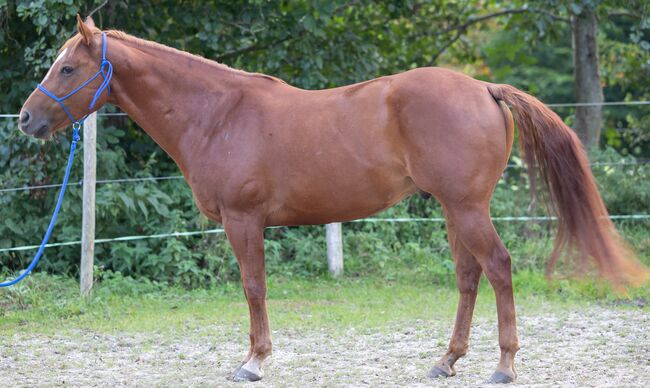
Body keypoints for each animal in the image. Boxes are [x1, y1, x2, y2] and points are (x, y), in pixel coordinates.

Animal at [19, 17, 644, 382]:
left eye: (68, 67)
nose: (25, 119)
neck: (217, 113)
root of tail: (484, 89)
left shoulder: (244, 222)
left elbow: (253, 287)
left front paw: (254, 361)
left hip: (466, 208)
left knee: (498, 267)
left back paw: (505, 365)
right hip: (453, 208)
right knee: (469, 276)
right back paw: (446, 360)